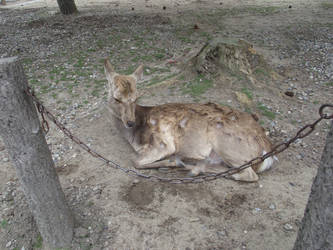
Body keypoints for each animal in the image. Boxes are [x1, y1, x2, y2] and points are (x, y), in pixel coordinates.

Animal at [104, 58, 274, 182]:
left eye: (136, 98)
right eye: (116, 99)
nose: (130, 122)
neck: (135, 136)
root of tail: (267, 151)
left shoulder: (164, 143)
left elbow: (134, 161)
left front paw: (171, 162)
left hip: (229, 146)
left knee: (248, 174)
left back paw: (191, 167)